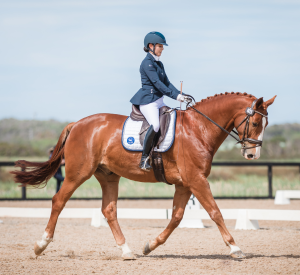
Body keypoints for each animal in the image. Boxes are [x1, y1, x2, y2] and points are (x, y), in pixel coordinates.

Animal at [11, 92, 276, 260]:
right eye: (254, 122)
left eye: (265, 125)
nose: (252, 155)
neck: (199, 128)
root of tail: (76, 124)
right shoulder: (196, 180)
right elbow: (215, 212)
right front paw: (235, 248)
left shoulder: (185, 184)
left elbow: (177, 217)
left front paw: (150, 245)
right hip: (78, 173)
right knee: (59, 201)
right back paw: (40, 245)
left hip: (108, 176)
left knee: (109, 210)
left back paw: (127, 251)